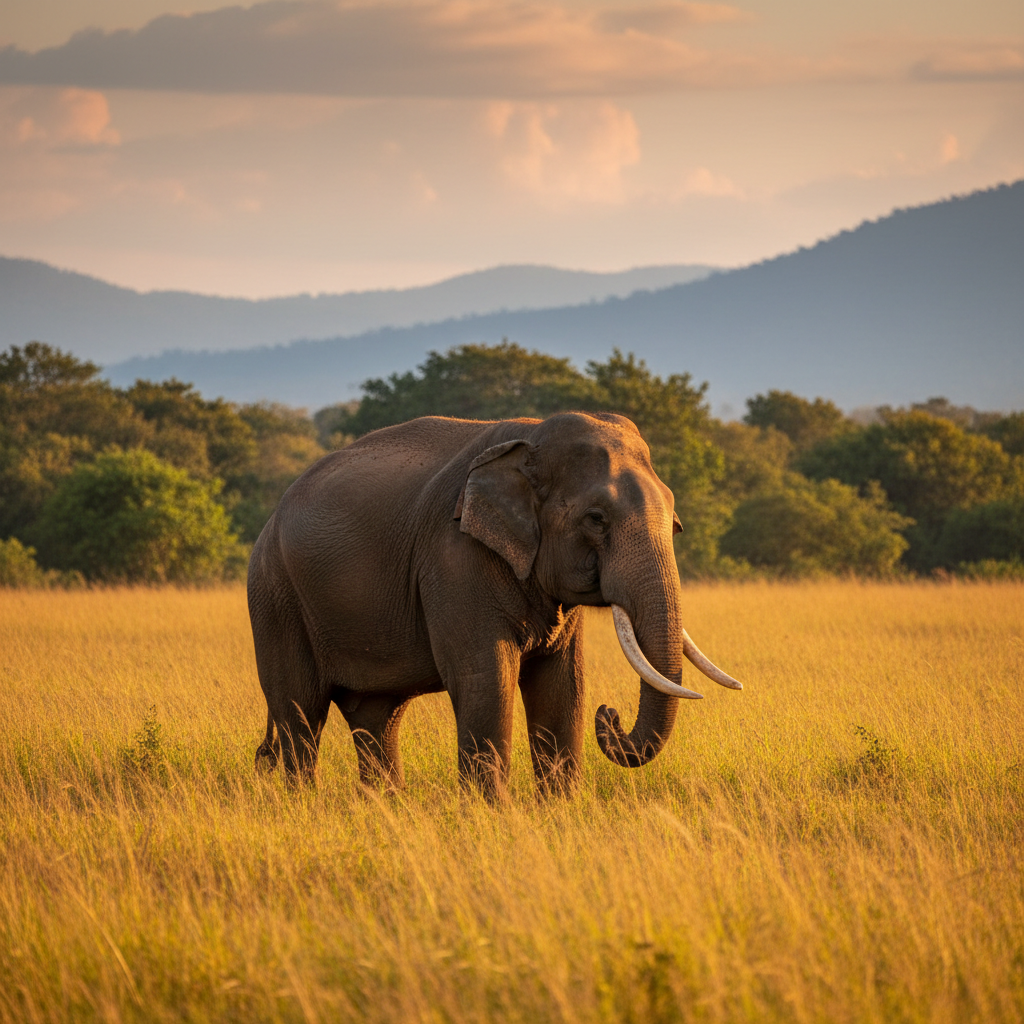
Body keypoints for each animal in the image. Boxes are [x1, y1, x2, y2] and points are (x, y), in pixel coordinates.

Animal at [248, 411, 741, 796]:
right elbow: (486, 678)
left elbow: (563, 683)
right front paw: (492, 814)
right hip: (276, 598)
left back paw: (386, 806)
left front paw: (559, 811)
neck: (531, 438)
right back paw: (303, 805)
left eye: (674, 523)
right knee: (299, 714)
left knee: (376, 718)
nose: (610, 714)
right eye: (596, 519)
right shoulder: (453, 557)